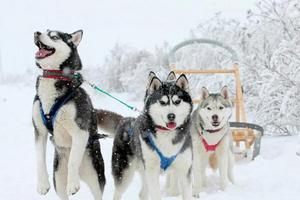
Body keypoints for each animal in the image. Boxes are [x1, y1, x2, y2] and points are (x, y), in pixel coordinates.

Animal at [31, 29, 105, 200]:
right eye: (44, 31)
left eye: (54, 36)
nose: (36, 32)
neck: (54, 75)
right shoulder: (39, 132)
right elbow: (39, 159)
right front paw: (42, 184)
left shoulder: (80, 131)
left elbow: (72, 161)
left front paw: (73, 184)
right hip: (58, 180)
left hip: (96, 178)